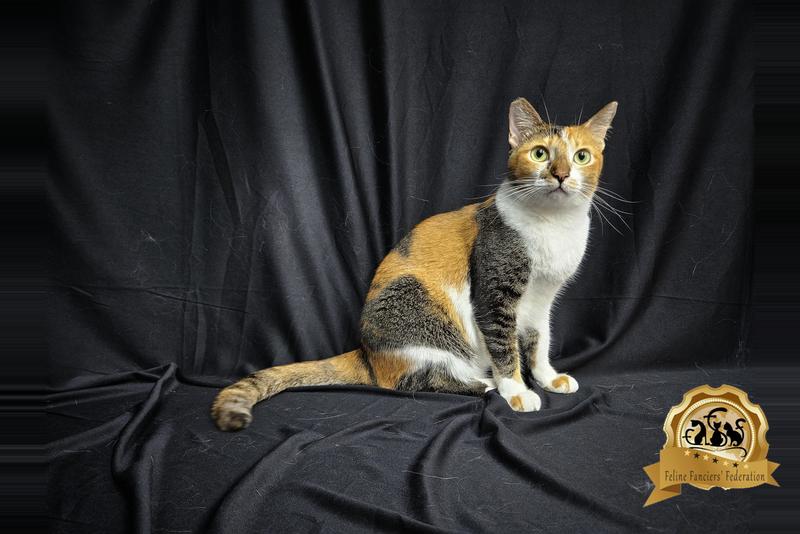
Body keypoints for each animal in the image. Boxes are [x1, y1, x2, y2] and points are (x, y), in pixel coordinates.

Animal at [212, 97, 618, 431]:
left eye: (581, 156)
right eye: (539, 154)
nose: (561, 174)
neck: (553, 226)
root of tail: (365, 353)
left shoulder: (543, 298)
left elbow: (539, 339)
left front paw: (548, 377)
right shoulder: (494, 292)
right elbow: (505, 346)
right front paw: (516, 390)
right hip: (419, 312)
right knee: (413, 381)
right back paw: (484, 383)